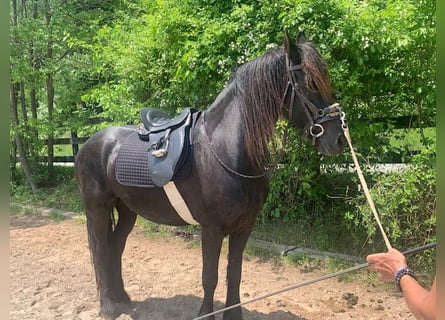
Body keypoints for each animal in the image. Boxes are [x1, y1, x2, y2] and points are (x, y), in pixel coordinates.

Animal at [75, 30, 346, 320]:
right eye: (309, 83)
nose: (338, 139)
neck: (227, 150)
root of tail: (89, 144)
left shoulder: (244, 227)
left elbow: (234, 273)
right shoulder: (212, 230)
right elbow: (210, 277)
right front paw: (207, 313)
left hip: (127, 210)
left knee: (115, 247)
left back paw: (123, 299)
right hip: (98, 208)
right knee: (100, 249)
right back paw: (109, 306)